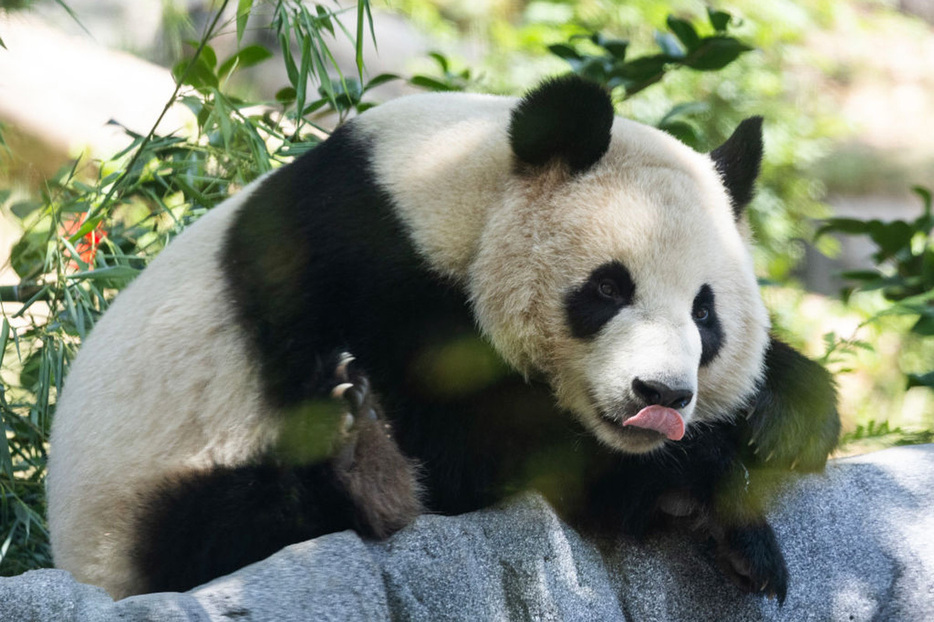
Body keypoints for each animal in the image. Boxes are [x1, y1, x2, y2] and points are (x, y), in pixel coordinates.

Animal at [47, 74, 840, 604]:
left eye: (705, 315)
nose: (663, 395)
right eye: (609, 289)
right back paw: (366, 471)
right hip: (137, 500)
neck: (456, 181)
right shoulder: (362, 264)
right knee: (233, 521)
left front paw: (787, 413)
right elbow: (465, 442)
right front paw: (704, 485)